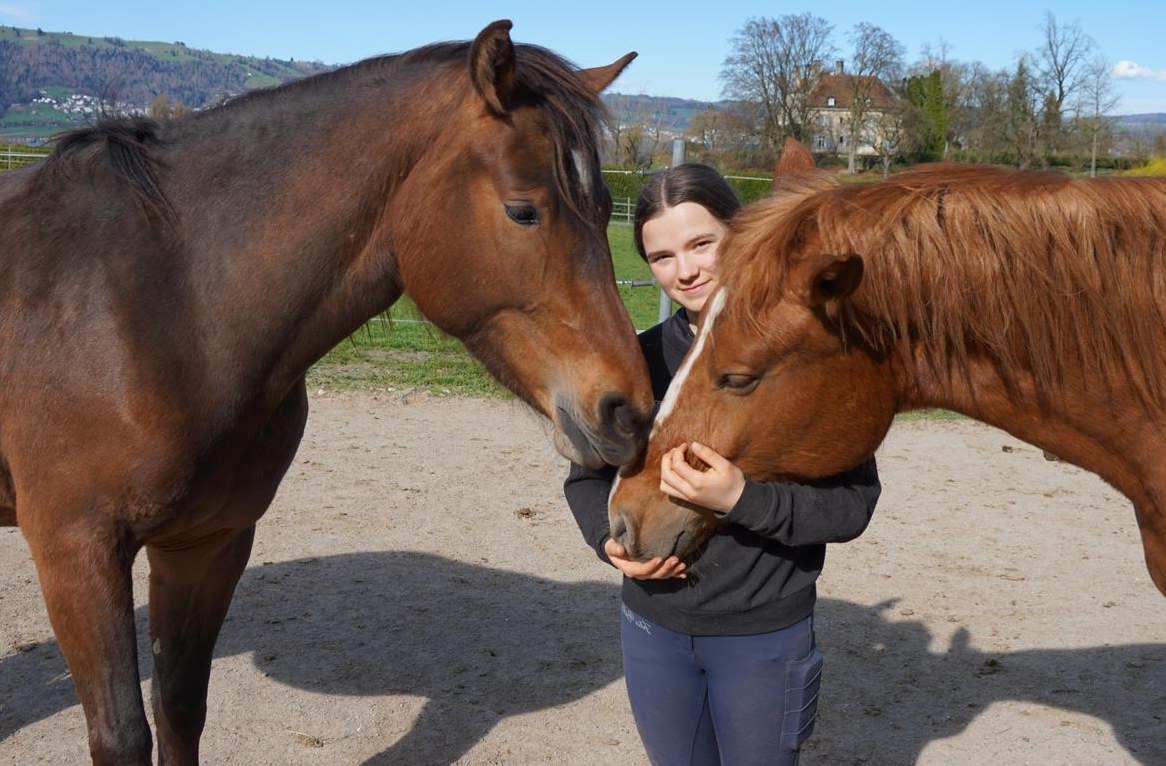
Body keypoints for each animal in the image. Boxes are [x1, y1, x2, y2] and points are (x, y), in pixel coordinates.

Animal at [0, 20, 653, 764]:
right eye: (524, 211)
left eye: (604, 210)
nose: (629, 411)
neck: (160, 305)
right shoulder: (76, 554)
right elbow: (122, 734)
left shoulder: (205, 544)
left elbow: (181, 709)